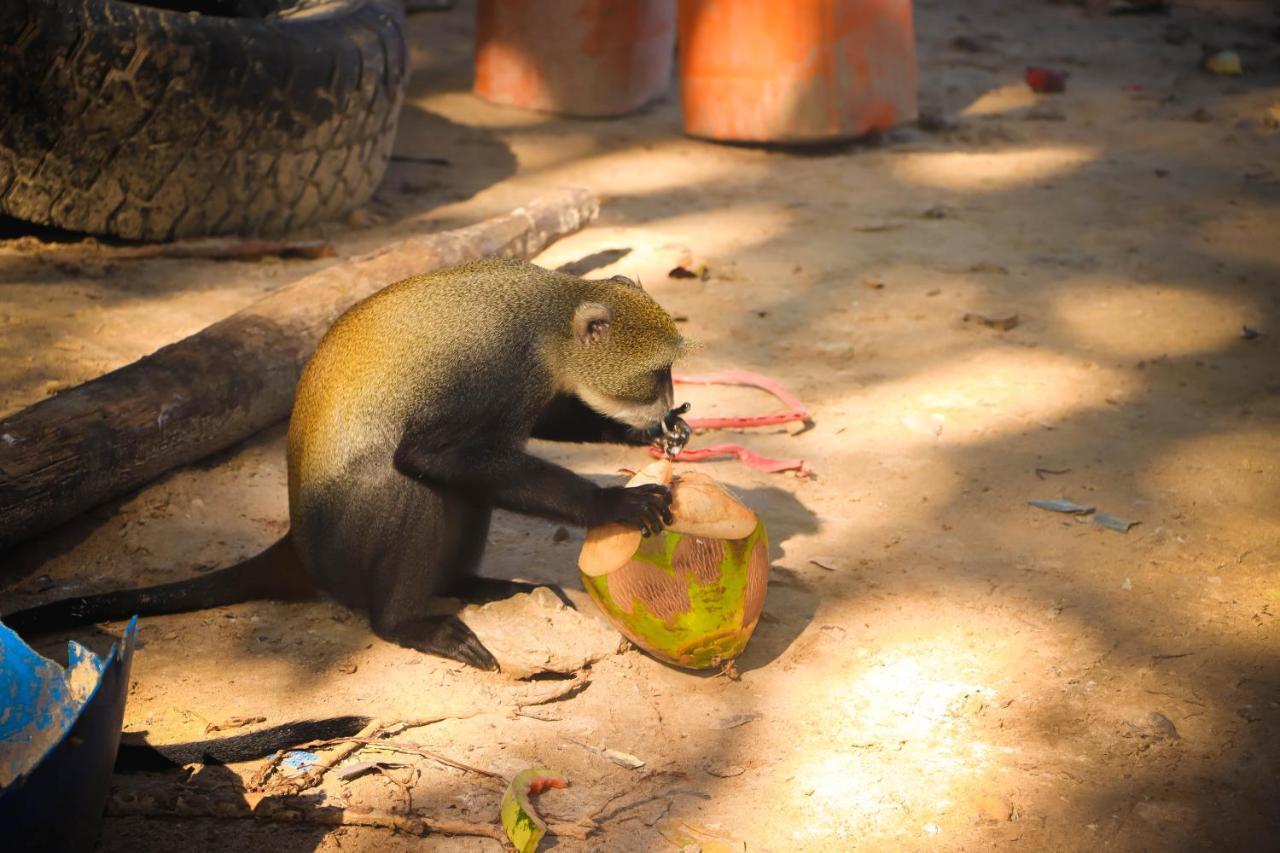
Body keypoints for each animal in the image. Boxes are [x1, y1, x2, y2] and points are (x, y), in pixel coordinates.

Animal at [5, 256, 696, 666]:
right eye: (654, 372)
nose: (664, 402)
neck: (549, 315)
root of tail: (298, 544)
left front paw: (643, 435)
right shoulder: (498, 369)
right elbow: (431, 454)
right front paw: (614, 502)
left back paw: (464, 585)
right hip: (346, 544)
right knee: (412, 483)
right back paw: (405, 623)